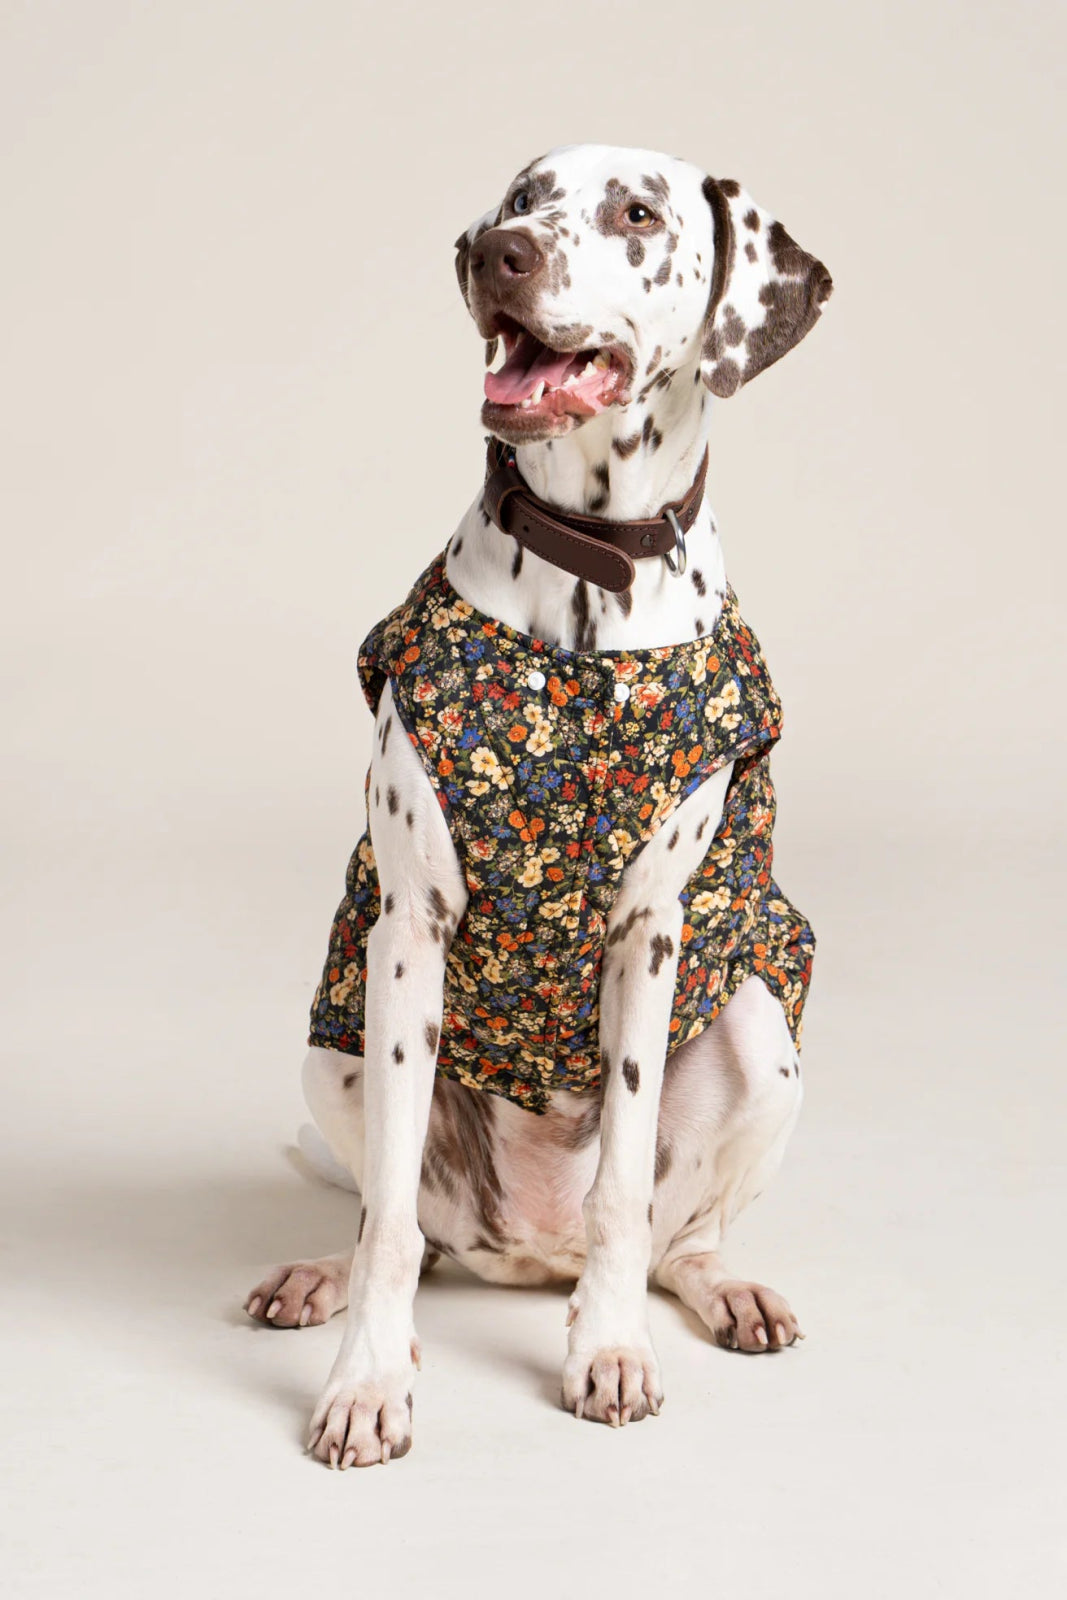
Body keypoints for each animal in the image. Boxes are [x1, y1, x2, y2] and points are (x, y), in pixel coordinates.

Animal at [245, 144, 832, 1467]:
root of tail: (524, 1255)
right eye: (521, 197)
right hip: (333, 1046)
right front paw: (368, 1381)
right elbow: (388, 1224)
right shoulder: (406, 931)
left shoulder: (649, 932)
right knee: (400, 1223)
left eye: (637, 213)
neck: (586, 574)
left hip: (761, 1028)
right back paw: (320, 1278)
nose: (492, 254)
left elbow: (621, 1198)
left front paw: (606, 1351)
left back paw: (721, 1288)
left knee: (674, 1236)